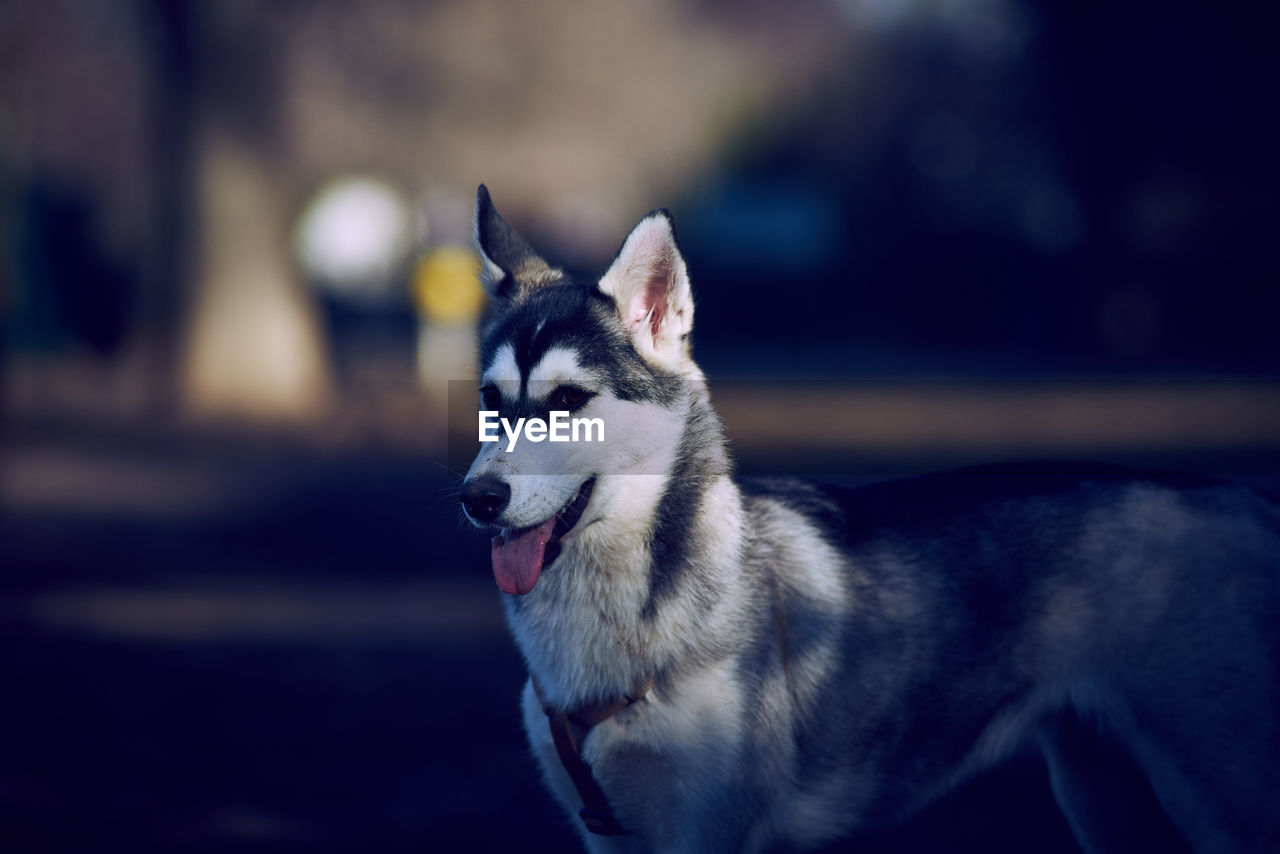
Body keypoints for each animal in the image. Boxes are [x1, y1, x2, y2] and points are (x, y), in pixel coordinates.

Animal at [463, 186, 1280, 854]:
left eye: (569, 401)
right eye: (491, 401)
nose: (477, 498)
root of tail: (1238, 495)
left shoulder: (708, 833)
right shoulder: (610, 837)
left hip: (1219, 796)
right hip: (1103, 792)